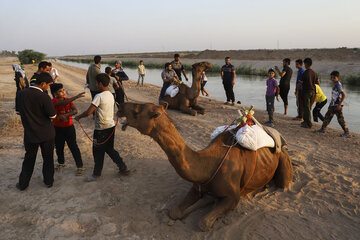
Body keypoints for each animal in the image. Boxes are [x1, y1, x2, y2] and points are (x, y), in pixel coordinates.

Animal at [117, 101, 292, 231]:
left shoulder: (233, 197)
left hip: (283, 159)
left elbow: (203, 223)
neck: (208, 166)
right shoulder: (197, 186)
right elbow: (174, 212)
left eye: (137, 110)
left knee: (284, 184)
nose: (119, 105)